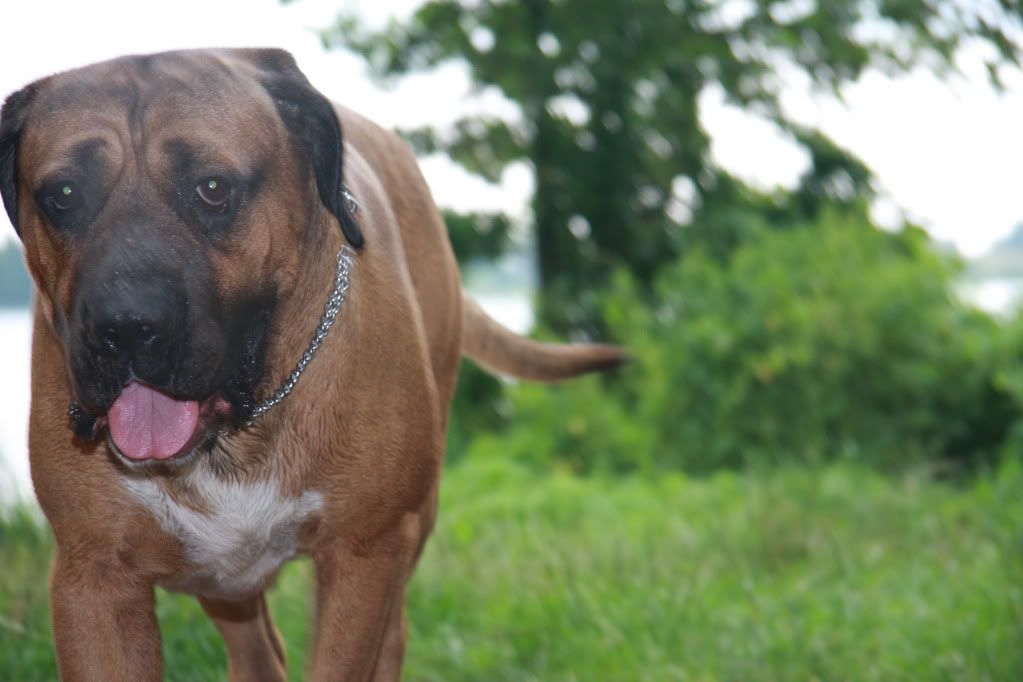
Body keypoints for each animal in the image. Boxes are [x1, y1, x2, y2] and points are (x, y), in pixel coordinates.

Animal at [0, 48, 624, 681]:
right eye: (63, 194)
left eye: (212, 187)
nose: (125, 327)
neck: (240, 432)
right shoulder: (95, 577)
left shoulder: (363, 554)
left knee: (392, 633)